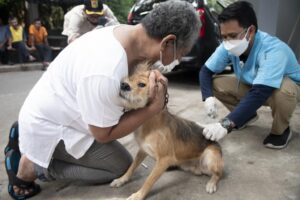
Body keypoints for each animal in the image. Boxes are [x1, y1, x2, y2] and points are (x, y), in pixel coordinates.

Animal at [110, 63, 223, 200]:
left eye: (142, 84)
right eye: (129, 78)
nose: (123, 85)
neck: (149, 122)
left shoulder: (164, 160)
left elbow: (149, 180)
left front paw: (138, 195)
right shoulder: (143, 150)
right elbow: (132, 167)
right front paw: (121, 180)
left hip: (210, 157)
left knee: (218, 174)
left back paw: (211, 184)